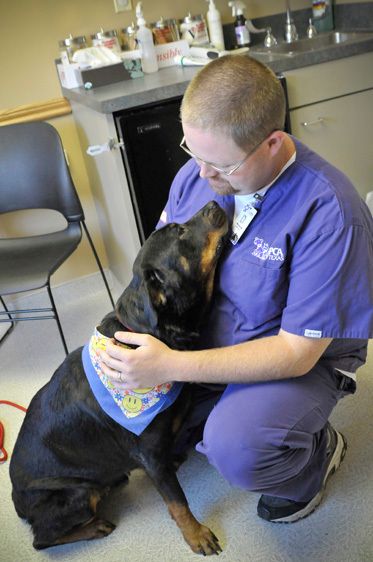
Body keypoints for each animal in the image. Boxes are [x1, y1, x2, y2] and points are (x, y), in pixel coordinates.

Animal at [9, 200, 227, 552]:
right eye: (179, 232)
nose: (213, 203)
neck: (144, 336)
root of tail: (18, 506)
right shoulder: (147, 453)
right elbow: (177, 501)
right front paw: (196, 534)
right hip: (78, 491)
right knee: (42, 540)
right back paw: (94, 527)